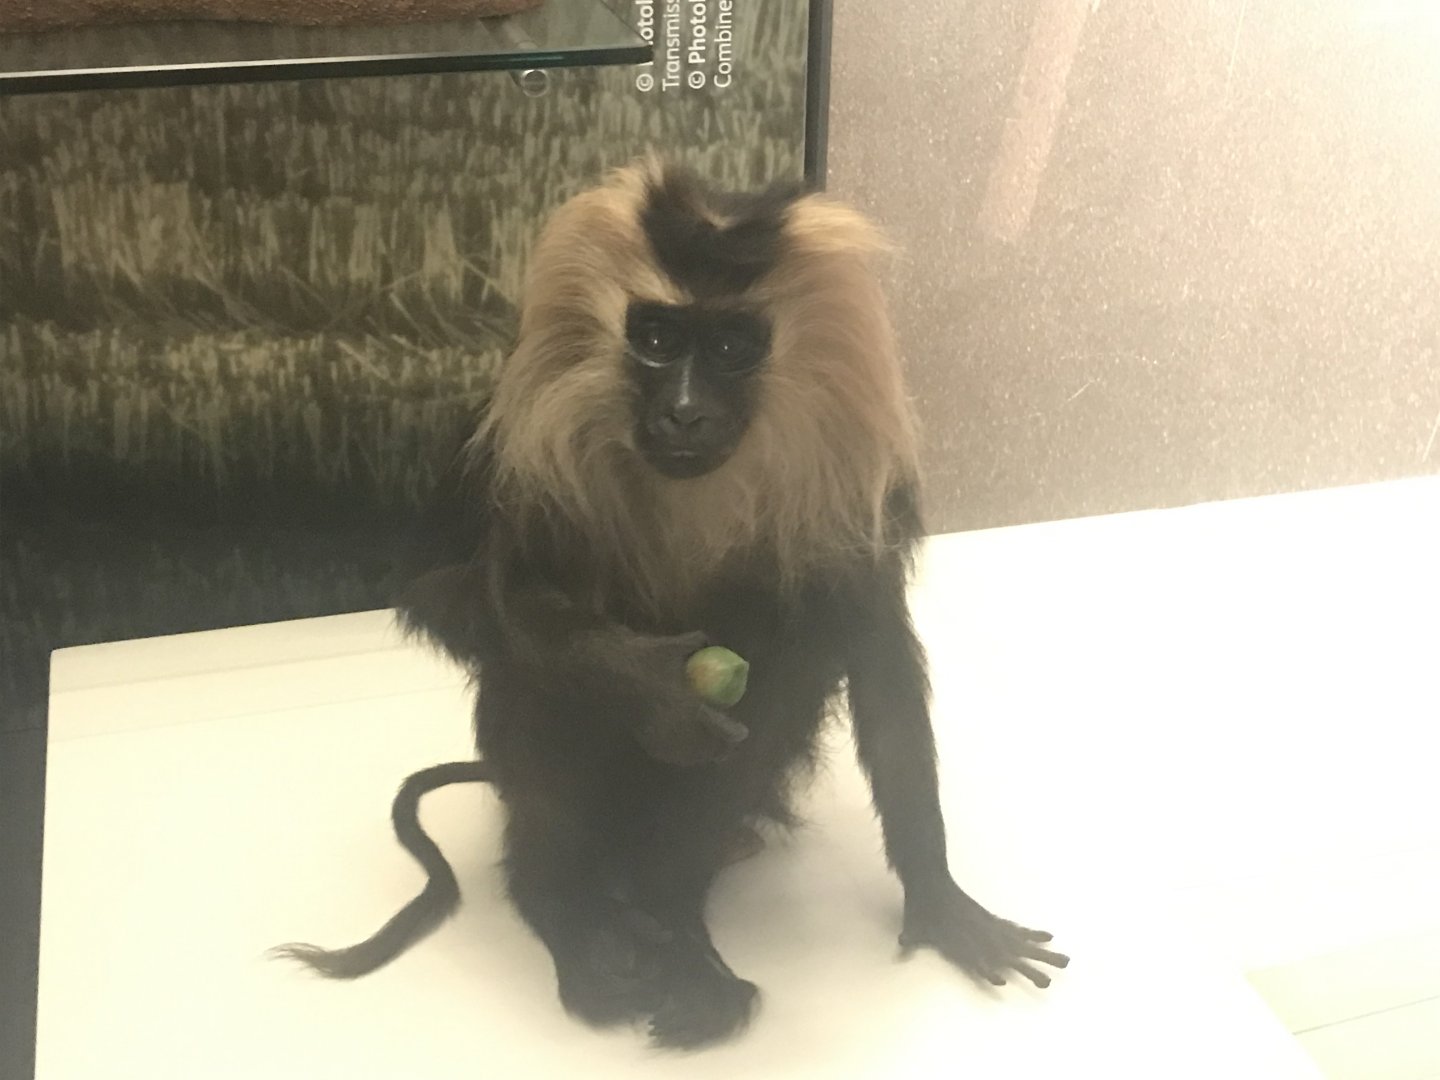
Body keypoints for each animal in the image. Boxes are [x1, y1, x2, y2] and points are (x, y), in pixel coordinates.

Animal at [272, 159, 1069, 1050]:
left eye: (728, 347)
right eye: (655, 340)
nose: (684, 410)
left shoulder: (859, 475)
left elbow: (873, 648)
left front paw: (937, 899)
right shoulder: (503, 433)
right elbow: (442, 591)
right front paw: (638, 680)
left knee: (789, 665)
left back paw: (677, 929)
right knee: (532, 681)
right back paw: (570, 920)